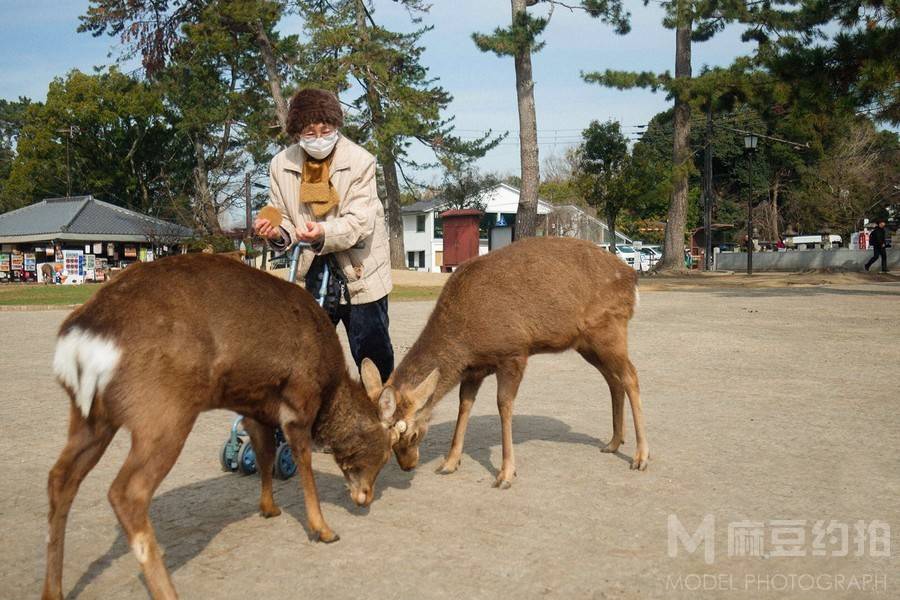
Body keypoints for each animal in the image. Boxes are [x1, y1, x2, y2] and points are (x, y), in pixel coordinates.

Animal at [43, 253, 398, 600]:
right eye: (384, 452)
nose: (365, 498)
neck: (329, 388)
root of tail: (80, 341)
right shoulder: (298, 401)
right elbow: (303, 464)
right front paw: (323, 529)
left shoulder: (255, 408)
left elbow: (264, 454)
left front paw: (269, 508)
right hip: (161, 413)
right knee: (127, 492)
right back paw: (168, 592)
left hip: (90, 417)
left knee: (60, 478)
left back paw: (53, 590)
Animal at [366, 236, 648, 488]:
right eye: (388, 441)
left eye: (412, 433)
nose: (408, 465)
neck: (465, 341)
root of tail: (632, 277)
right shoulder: (474, 369)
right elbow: (464, 405)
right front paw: (449, 463)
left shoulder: (514, 353)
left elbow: (504, 406)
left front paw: (505, 474)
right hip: (587, 344)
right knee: (614, 380)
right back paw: (613, 443)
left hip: (610, 328)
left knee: (631, 376)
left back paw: (641, 457)